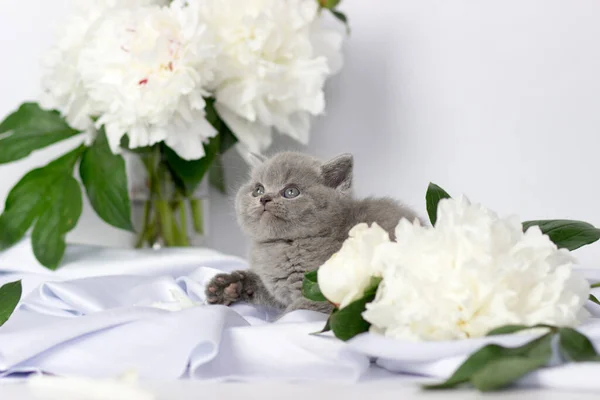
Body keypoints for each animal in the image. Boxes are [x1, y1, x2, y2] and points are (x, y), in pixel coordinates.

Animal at [206, 152, 422, 314]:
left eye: (291, 192)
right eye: (258, 189)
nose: (264, 198)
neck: (284, 245)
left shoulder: (318, 295)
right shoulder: (280, 292)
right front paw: (227, 286)